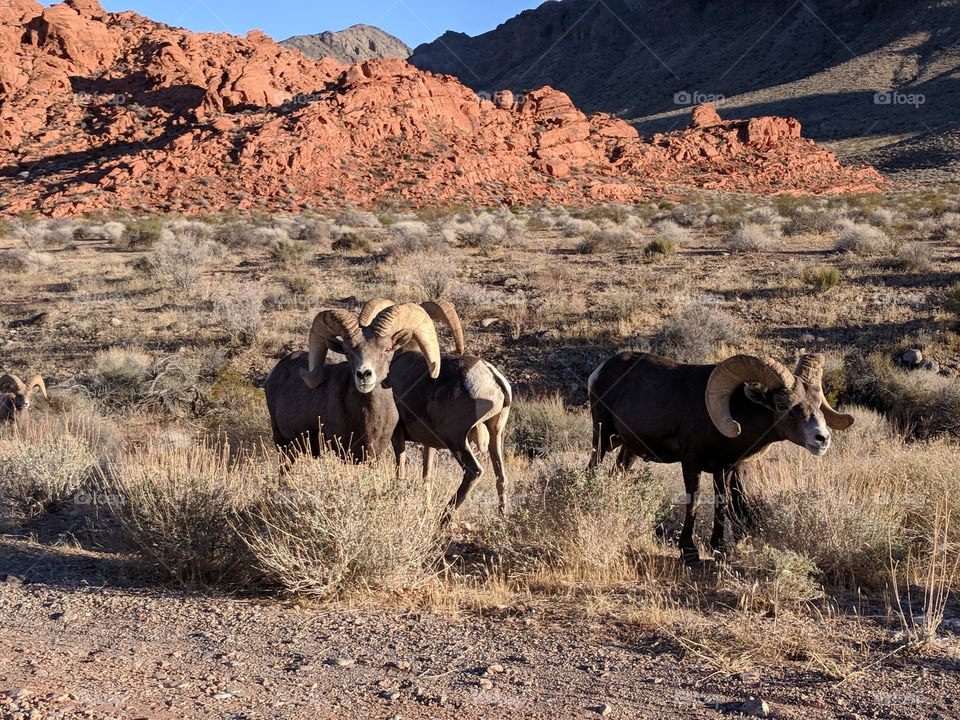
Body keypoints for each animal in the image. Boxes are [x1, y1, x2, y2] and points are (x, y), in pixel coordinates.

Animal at [358, 298, 510, 516]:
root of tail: (491, 378)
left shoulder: (398, 436)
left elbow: (400, 471)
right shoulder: (430, 444)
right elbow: (427, 476)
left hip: (456, 440)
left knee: (474, 472)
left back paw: (444, 518)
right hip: (495, 435)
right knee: (501, 477)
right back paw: (502, 518)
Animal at [588, 354, 852, 564]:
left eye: (817, 403)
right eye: (781, 404)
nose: (822, 438)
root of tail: (599, 371)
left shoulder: (724, 469)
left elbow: (722, 504)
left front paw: (720, 548)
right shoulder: (691, 463)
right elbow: (694, 503)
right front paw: (689, 552)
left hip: (628, 450)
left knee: (617, 473)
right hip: (602, 439)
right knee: (592, 469)